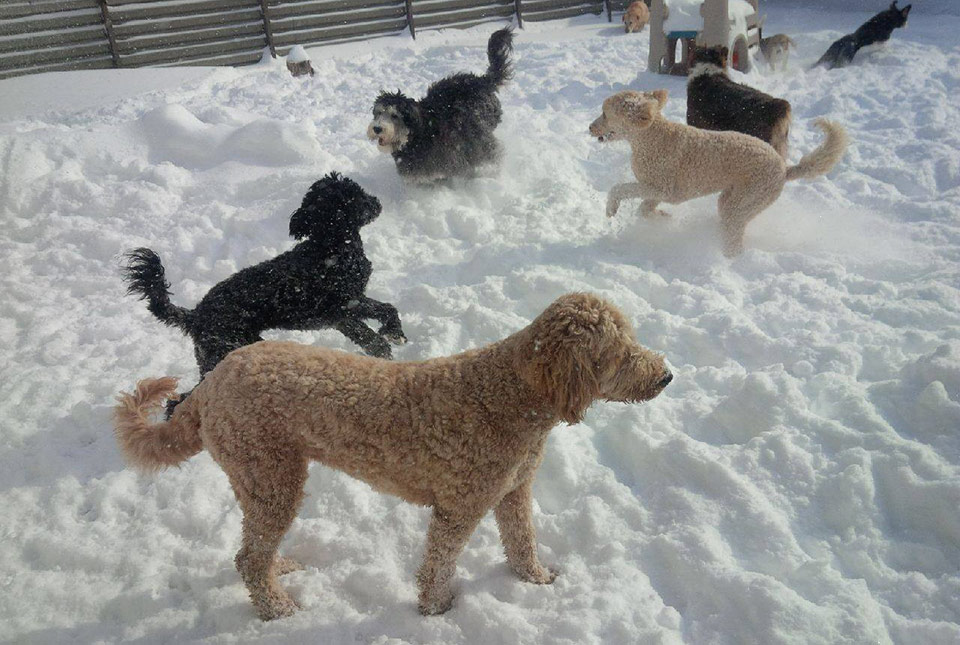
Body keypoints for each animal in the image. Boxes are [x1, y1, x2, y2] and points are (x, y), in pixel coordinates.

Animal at [112, 292, 672, 620]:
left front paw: (534, 581)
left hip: (261, 479)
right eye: (619, 354)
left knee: (255, 551)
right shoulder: (458, 507)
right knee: (248, 558)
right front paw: (437, 610)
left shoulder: (514, 491)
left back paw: (280, 570)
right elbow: (438, 565)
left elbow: (521, 543)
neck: (513, 393)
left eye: (633, 340)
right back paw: (278, 609)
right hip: (270, 474)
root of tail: (211, 383)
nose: (667, 376)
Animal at [122, 171, 404, 412]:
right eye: (355, 194)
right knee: (181, 401)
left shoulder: (346, 311)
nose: (377, 202)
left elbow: (377, 323)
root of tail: (195, 315)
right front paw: (390, 343)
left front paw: (388, 342)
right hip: (225, 349)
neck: (331, 246)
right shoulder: (343, 307)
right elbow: (377, 323)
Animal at [368, 27, 512, 181]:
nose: (377, 128)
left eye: (394, 115)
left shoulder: (455, 161)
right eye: (379, 112)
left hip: (480, 136)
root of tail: (482, 81)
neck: (417, 134)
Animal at [584, 89, 848, 255]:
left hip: (745, 201)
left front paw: (611, 208)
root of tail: (784, 169)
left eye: (605, 113)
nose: (589, 127)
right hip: (732, 199)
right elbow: (644, 210)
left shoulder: (662, 188)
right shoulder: (658, 192)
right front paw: (662, 218)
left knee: (734, 240)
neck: (652, 137)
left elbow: (620, 189)